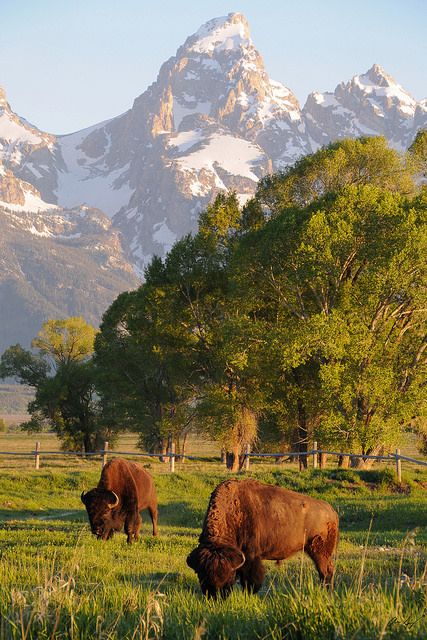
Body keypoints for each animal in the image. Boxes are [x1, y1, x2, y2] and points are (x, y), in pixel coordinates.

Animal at [189, 478, 340, 596]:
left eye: (227, 575)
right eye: (201, 575)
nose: (215, 596)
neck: (233, 511)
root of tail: (331, 511)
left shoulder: (251, 557)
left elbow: (251, 580)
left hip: (320, 551)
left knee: (326, 571)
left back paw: (326, 591)